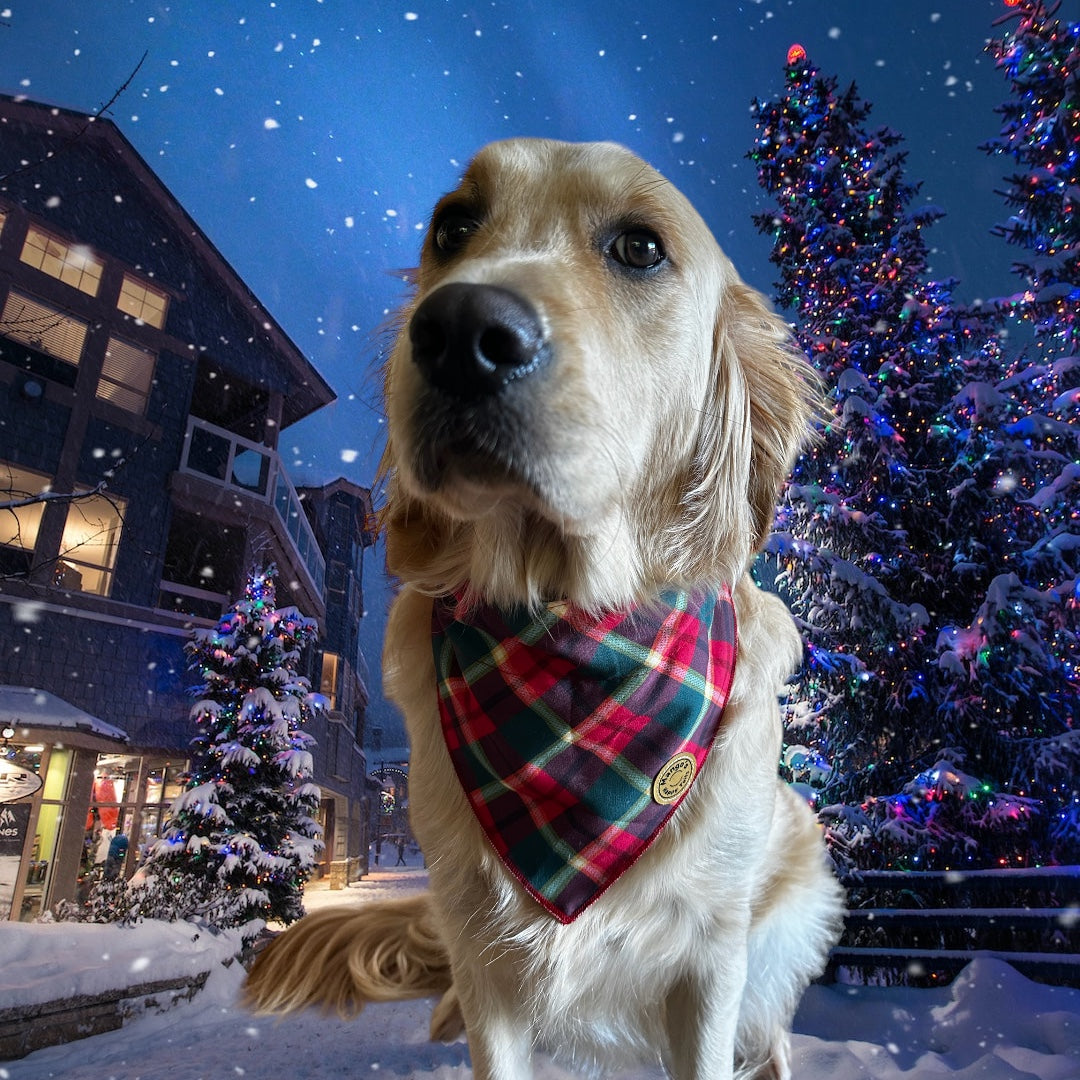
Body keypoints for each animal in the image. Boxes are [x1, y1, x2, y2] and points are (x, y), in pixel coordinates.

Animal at [248, 139, 846, 1075]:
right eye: (453, 226)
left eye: (640, 247)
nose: (458, 335)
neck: (569, 632)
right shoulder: (481, 948)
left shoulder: (709, 955)